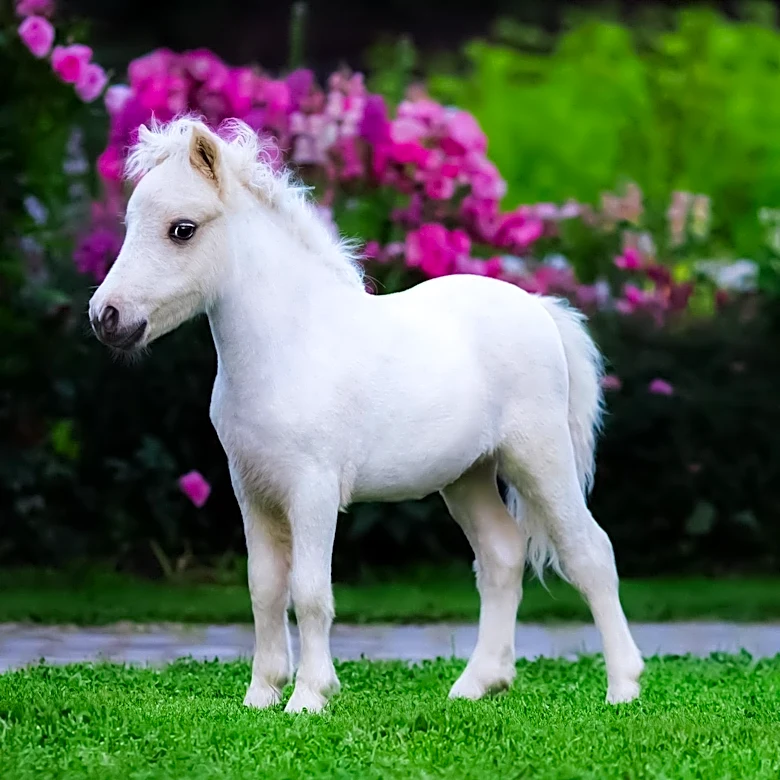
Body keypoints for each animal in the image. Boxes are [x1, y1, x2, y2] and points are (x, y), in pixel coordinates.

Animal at [89, 116, 644, 714]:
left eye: (182, 229)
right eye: (131, 224)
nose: (106, 317)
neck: (290, 347)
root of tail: (539, 309)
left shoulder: (311, 491)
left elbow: (309, 591)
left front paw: (310, 696)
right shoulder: (252, 491)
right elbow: (264, 588)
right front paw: (262, 694)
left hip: (539, 458)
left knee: (589, 553)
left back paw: (623, 686)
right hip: (468, 476)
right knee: (501, 555)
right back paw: (477, 684)